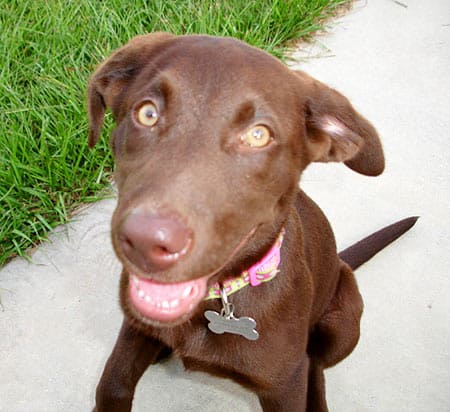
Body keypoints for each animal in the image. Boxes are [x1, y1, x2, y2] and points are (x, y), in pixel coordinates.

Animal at [87, 33, 414, 410]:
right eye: (147, 113)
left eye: (258, 135)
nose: (145, 241)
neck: (219, 298)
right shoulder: (132, 330)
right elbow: (113, 384)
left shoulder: (284, 386)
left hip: (345, 320)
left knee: (315, 364)